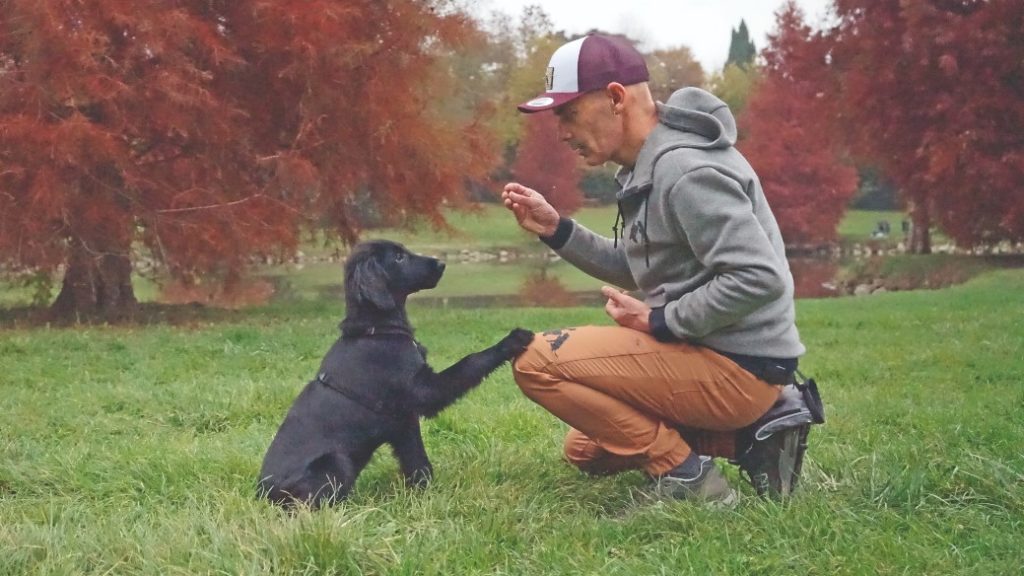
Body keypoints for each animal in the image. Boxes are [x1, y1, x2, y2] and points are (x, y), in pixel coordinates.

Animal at [258, 238, 536, 506]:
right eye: (399, 257)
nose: (442, 264)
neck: (377, 330)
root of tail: (263, 494)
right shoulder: (421, 395)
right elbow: (469, 362)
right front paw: (511, 341)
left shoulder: (404, 424)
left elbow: (416, 462)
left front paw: (421, 493)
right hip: (336, 462)